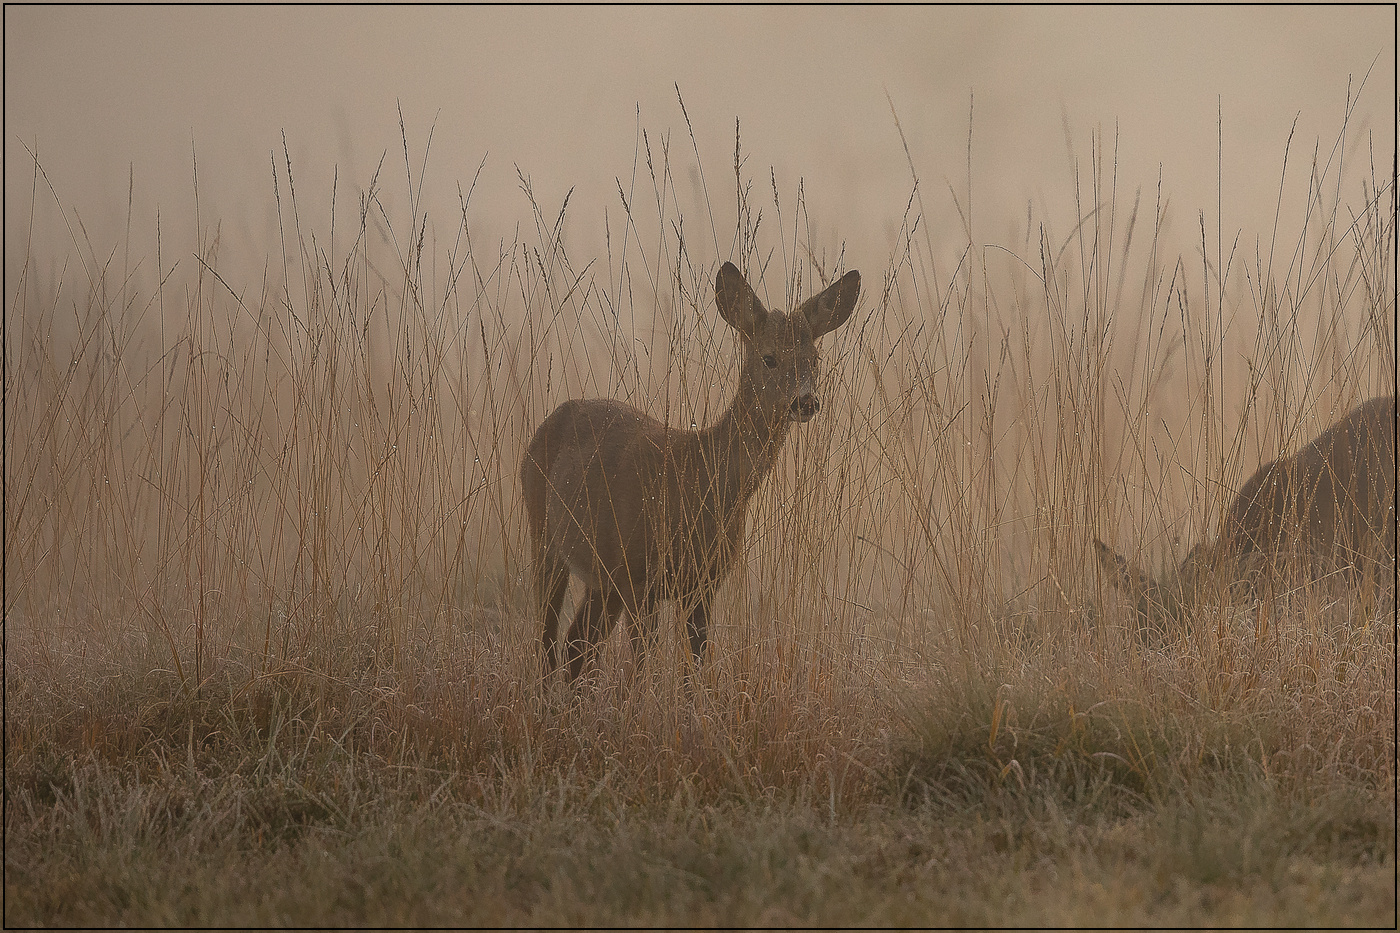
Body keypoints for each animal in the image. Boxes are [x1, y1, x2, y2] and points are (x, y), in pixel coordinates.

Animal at [523, 257, 856, 680]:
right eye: (769, 357)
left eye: (814, 360)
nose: (806, 402)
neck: (700, 476)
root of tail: (549, 420)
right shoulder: (639, 576)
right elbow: (641, 666)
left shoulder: (703, 582)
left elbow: (695, 667)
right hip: (546, 538)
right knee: (550, 638)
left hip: (602, 578)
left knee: (576, 642)